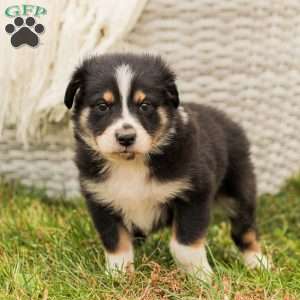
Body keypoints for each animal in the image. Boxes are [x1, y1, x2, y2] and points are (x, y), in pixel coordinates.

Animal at [63, 53, 270, 282]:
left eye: (145, 105)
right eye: (102, 106)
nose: (126, 138)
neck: (131, 165)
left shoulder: (194, 193)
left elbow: (185, 245)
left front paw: (202, 278)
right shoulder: (101, 200)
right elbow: (116, 243)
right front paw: (119, 277)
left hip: (239, 189)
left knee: (245, 229)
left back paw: (258, 263)